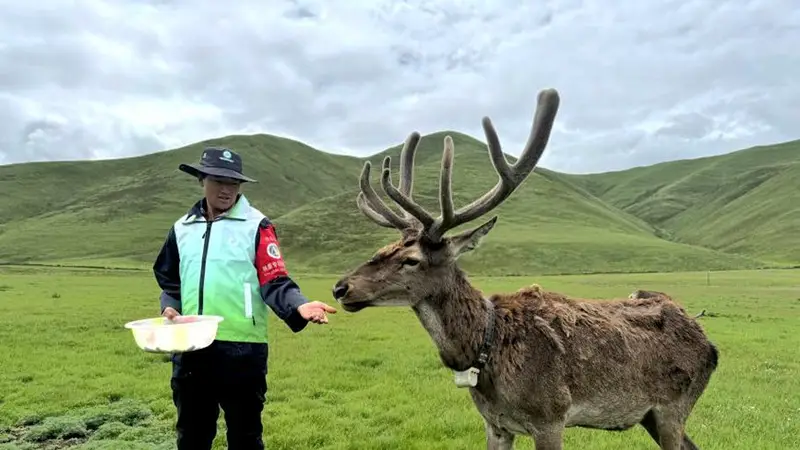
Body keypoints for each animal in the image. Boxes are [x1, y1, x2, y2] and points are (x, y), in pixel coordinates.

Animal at [330, 88, 720, 450]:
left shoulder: (550, 416)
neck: (485, 351)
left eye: (411, 260)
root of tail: (710, 344)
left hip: (673, 406)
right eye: (381, 249)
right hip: (651, 415)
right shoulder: (495, 424)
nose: (340, 288)